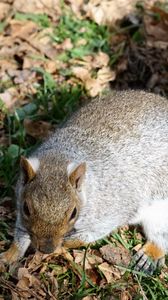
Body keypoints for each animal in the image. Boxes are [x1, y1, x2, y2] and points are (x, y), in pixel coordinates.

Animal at [0, 89, 168, 274]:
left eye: (74, 213)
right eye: (26, 208)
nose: (46, 249)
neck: (59, 158)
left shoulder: (114, 208)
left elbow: (95, 232)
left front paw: (70, 242)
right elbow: (21, 232)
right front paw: (10, 254)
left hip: (161, 210)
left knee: (161, 236)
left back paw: (150, 255)